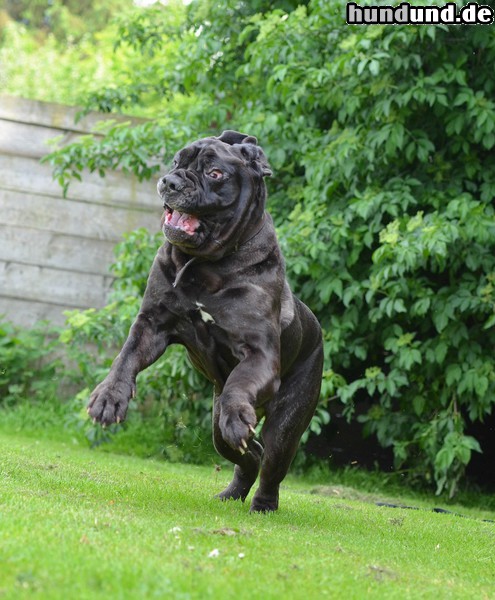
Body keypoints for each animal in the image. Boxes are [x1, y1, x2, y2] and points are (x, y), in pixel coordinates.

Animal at [87, 130, 324, 510]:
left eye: (215, 173)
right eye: (175, 161)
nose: (171, 182)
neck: (205, 263)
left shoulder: (258, 354)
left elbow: (239, 384)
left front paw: (237, 413)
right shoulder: (152, 325)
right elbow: (125, 358)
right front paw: (109, 398)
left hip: (288, 420)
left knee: (270, 462)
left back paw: (262, 505)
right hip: (217, 427)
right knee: (244, 451)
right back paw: (231, 492)